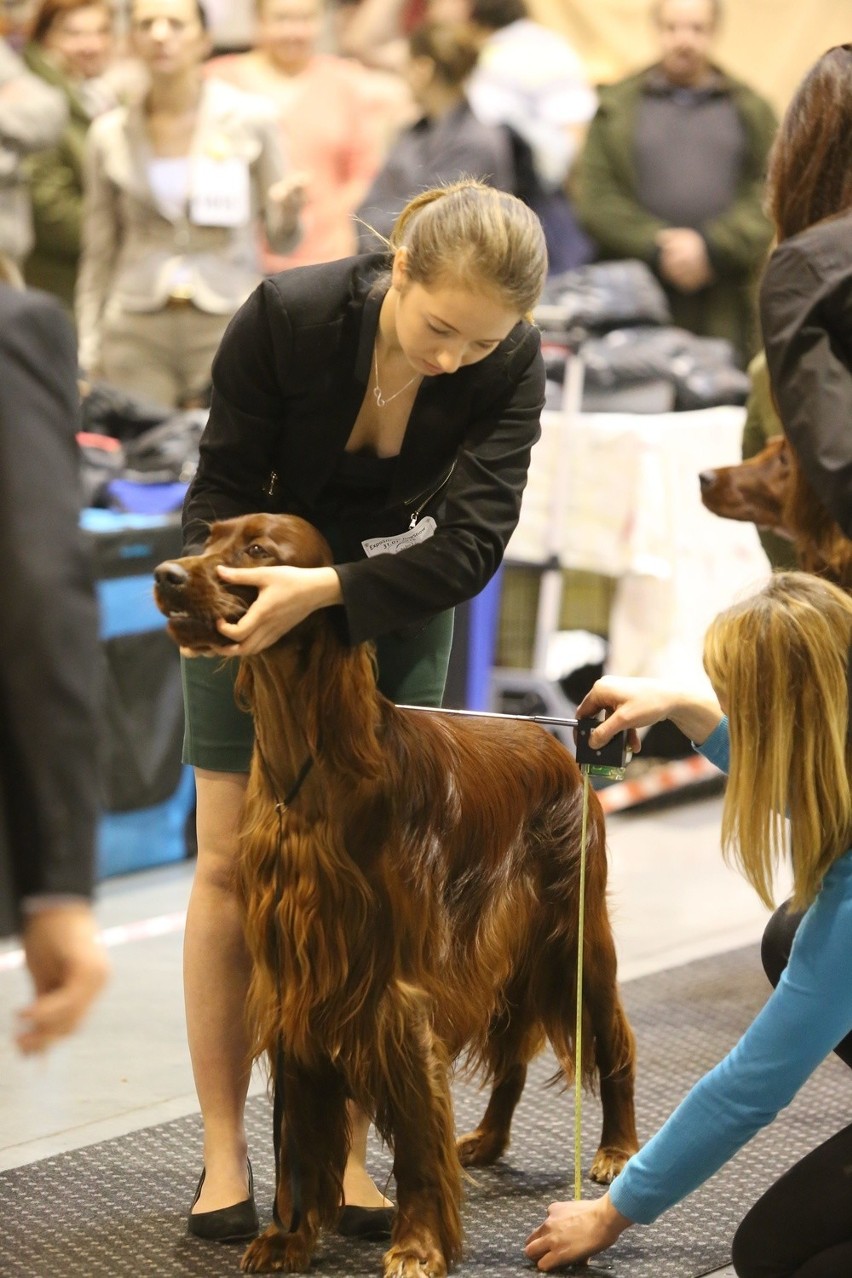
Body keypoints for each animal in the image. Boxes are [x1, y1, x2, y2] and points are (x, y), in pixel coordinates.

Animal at [153, 511, 636, 1278]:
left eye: (257, 550)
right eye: (208, 537)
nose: (166, 575)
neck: (310, 767)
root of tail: (553, 741)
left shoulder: (394, 989)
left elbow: (413, 1131)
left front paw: (417, 1244)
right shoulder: (299, 978)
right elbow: (299, 1127)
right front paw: (290, 1234)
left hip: (571, 937)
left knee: (614, 1038)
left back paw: (617, 1149)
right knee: (514, 1047)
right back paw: (489, 1138)